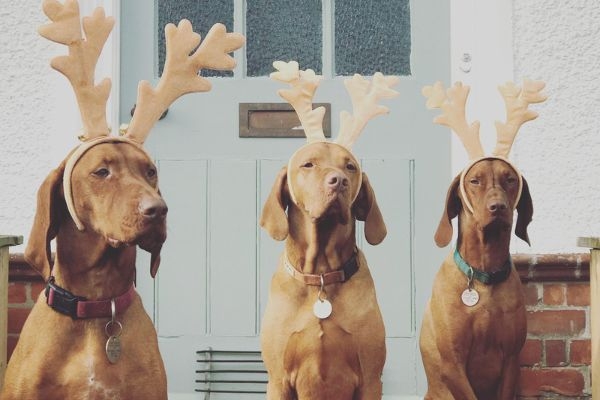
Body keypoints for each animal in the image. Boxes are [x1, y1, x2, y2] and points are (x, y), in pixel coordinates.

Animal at [260, 141, 386, 400]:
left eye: (350, 167)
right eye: (308, 164)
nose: (339, 181)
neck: (320, 275)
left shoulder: (370, 379)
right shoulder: (278, 380)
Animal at [420, 158, 532, 398]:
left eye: (510, 179)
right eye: (474, 181)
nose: (498, 207)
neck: (484, 275)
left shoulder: (511, 360)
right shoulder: (453, 364)